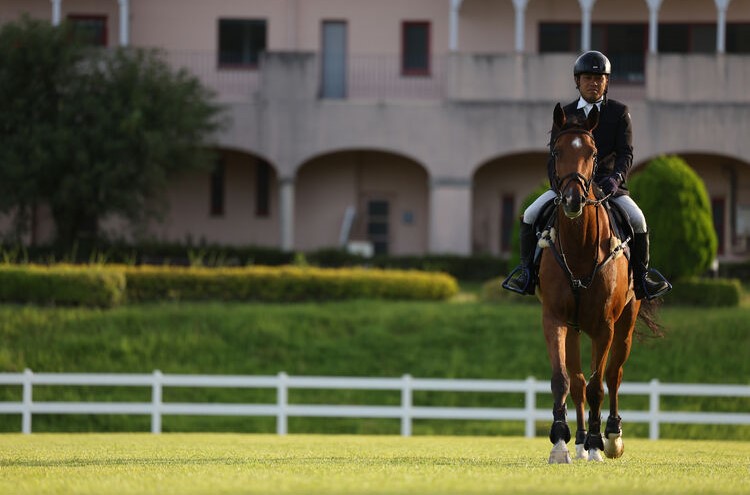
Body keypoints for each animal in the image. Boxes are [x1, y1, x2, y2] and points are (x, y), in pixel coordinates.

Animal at [539, 103, 661, 463]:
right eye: (556, 151)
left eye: (592, 153)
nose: (572, 200)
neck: (579, 249)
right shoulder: (555, 319)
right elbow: (562, 380)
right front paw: (561, 441)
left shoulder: (604, 326)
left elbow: (598, 385)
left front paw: (596, 443)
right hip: (575, 328)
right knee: (578, 381)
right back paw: (579, 440)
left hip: (624, 323)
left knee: (613, 376)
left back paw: (611, 436)